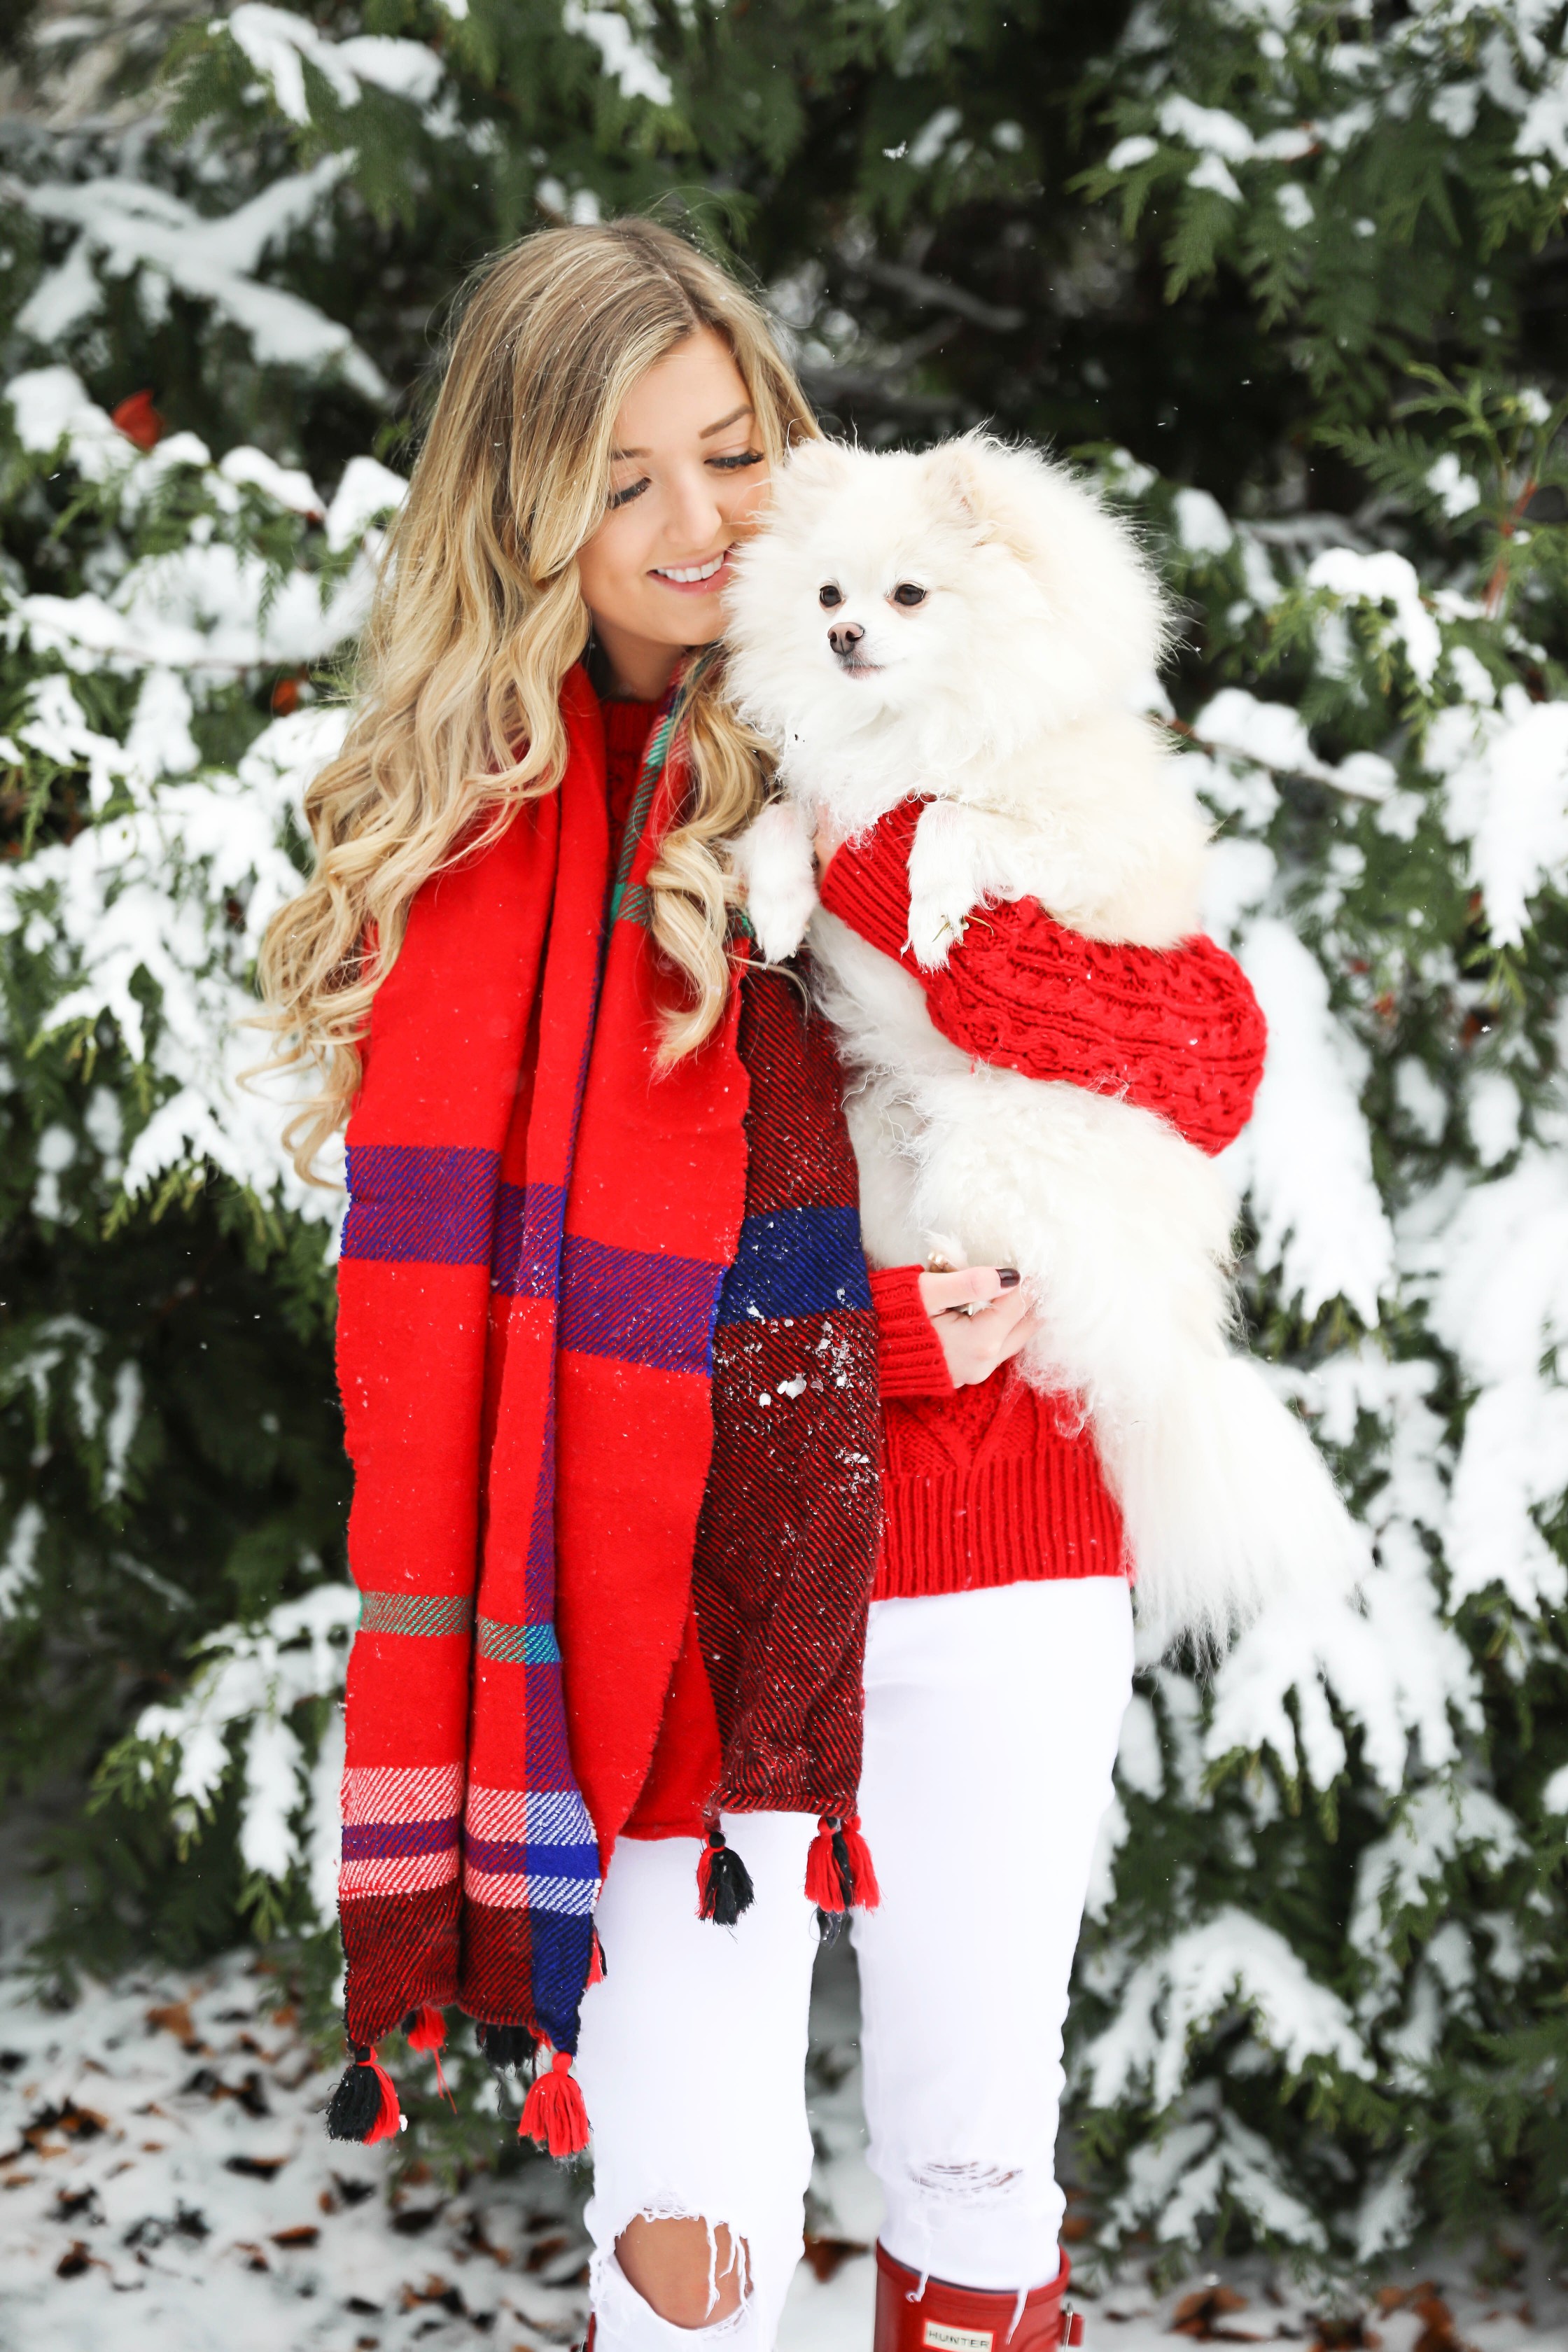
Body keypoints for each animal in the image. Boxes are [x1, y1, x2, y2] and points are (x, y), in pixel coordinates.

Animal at [729, 437, 1363, 1656]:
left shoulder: (1082, 841)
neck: (911, 723)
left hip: (1006, 1129)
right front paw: (781, 908)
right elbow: (784, 816)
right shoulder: (818, 781)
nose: (842, 637)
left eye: (908, 596)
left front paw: (930, 907)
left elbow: (950, 819)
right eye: (826, 595)